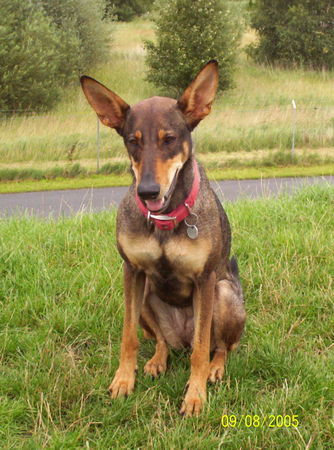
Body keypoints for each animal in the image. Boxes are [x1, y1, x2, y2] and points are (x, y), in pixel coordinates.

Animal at [81, 61, 245, 416]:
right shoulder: (132, 271)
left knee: (221, 346)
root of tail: (179, 337)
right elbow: (128, 336)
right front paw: (123, 380)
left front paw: (195, 395)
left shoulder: (205, 279)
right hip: (145, 297)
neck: (165, 220)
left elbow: (201, 348)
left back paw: (215, 368)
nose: (147, 191)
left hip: (225, 294)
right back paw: (158, 360)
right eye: (133, 141)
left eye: (169, 139)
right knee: (160, 340)